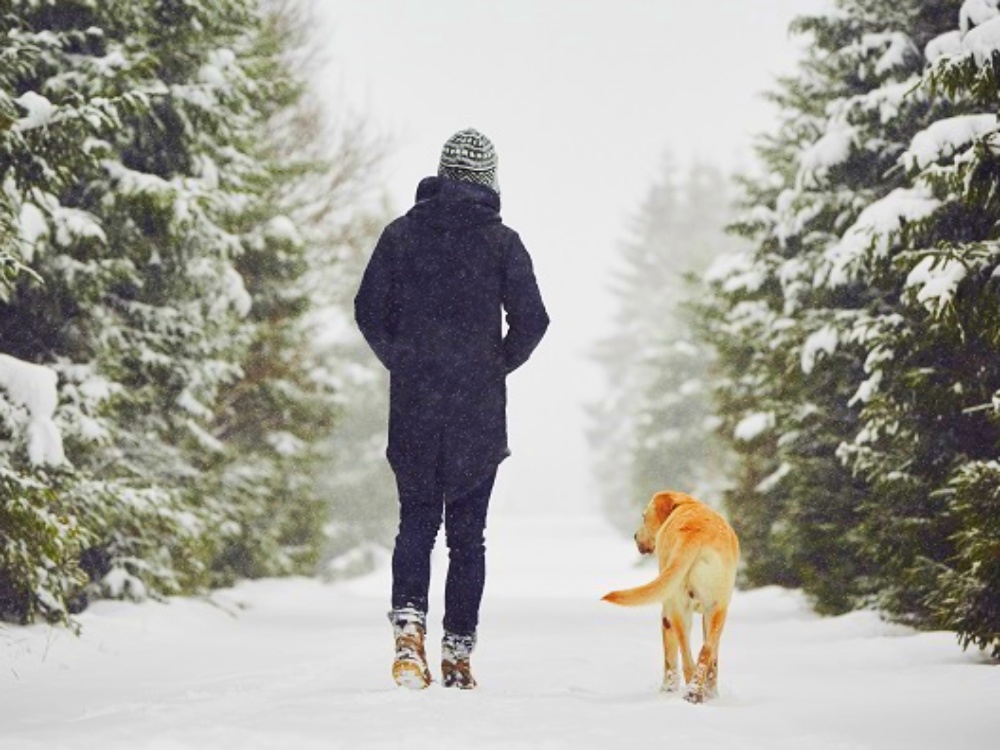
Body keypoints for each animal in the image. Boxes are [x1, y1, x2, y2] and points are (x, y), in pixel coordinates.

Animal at [600, 494, 736, 704]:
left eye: (644, 516)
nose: (634, 536)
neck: (686, 505)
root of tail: (695, 533)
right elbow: (714, 660)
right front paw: (712, 693)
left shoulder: (666, 614)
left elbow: (669, 660)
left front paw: (667, 690)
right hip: (717, 609)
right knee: (705, 652)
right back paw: (697, 692)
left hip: (677, 609)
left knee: (686, 658)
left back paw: (691, 692)